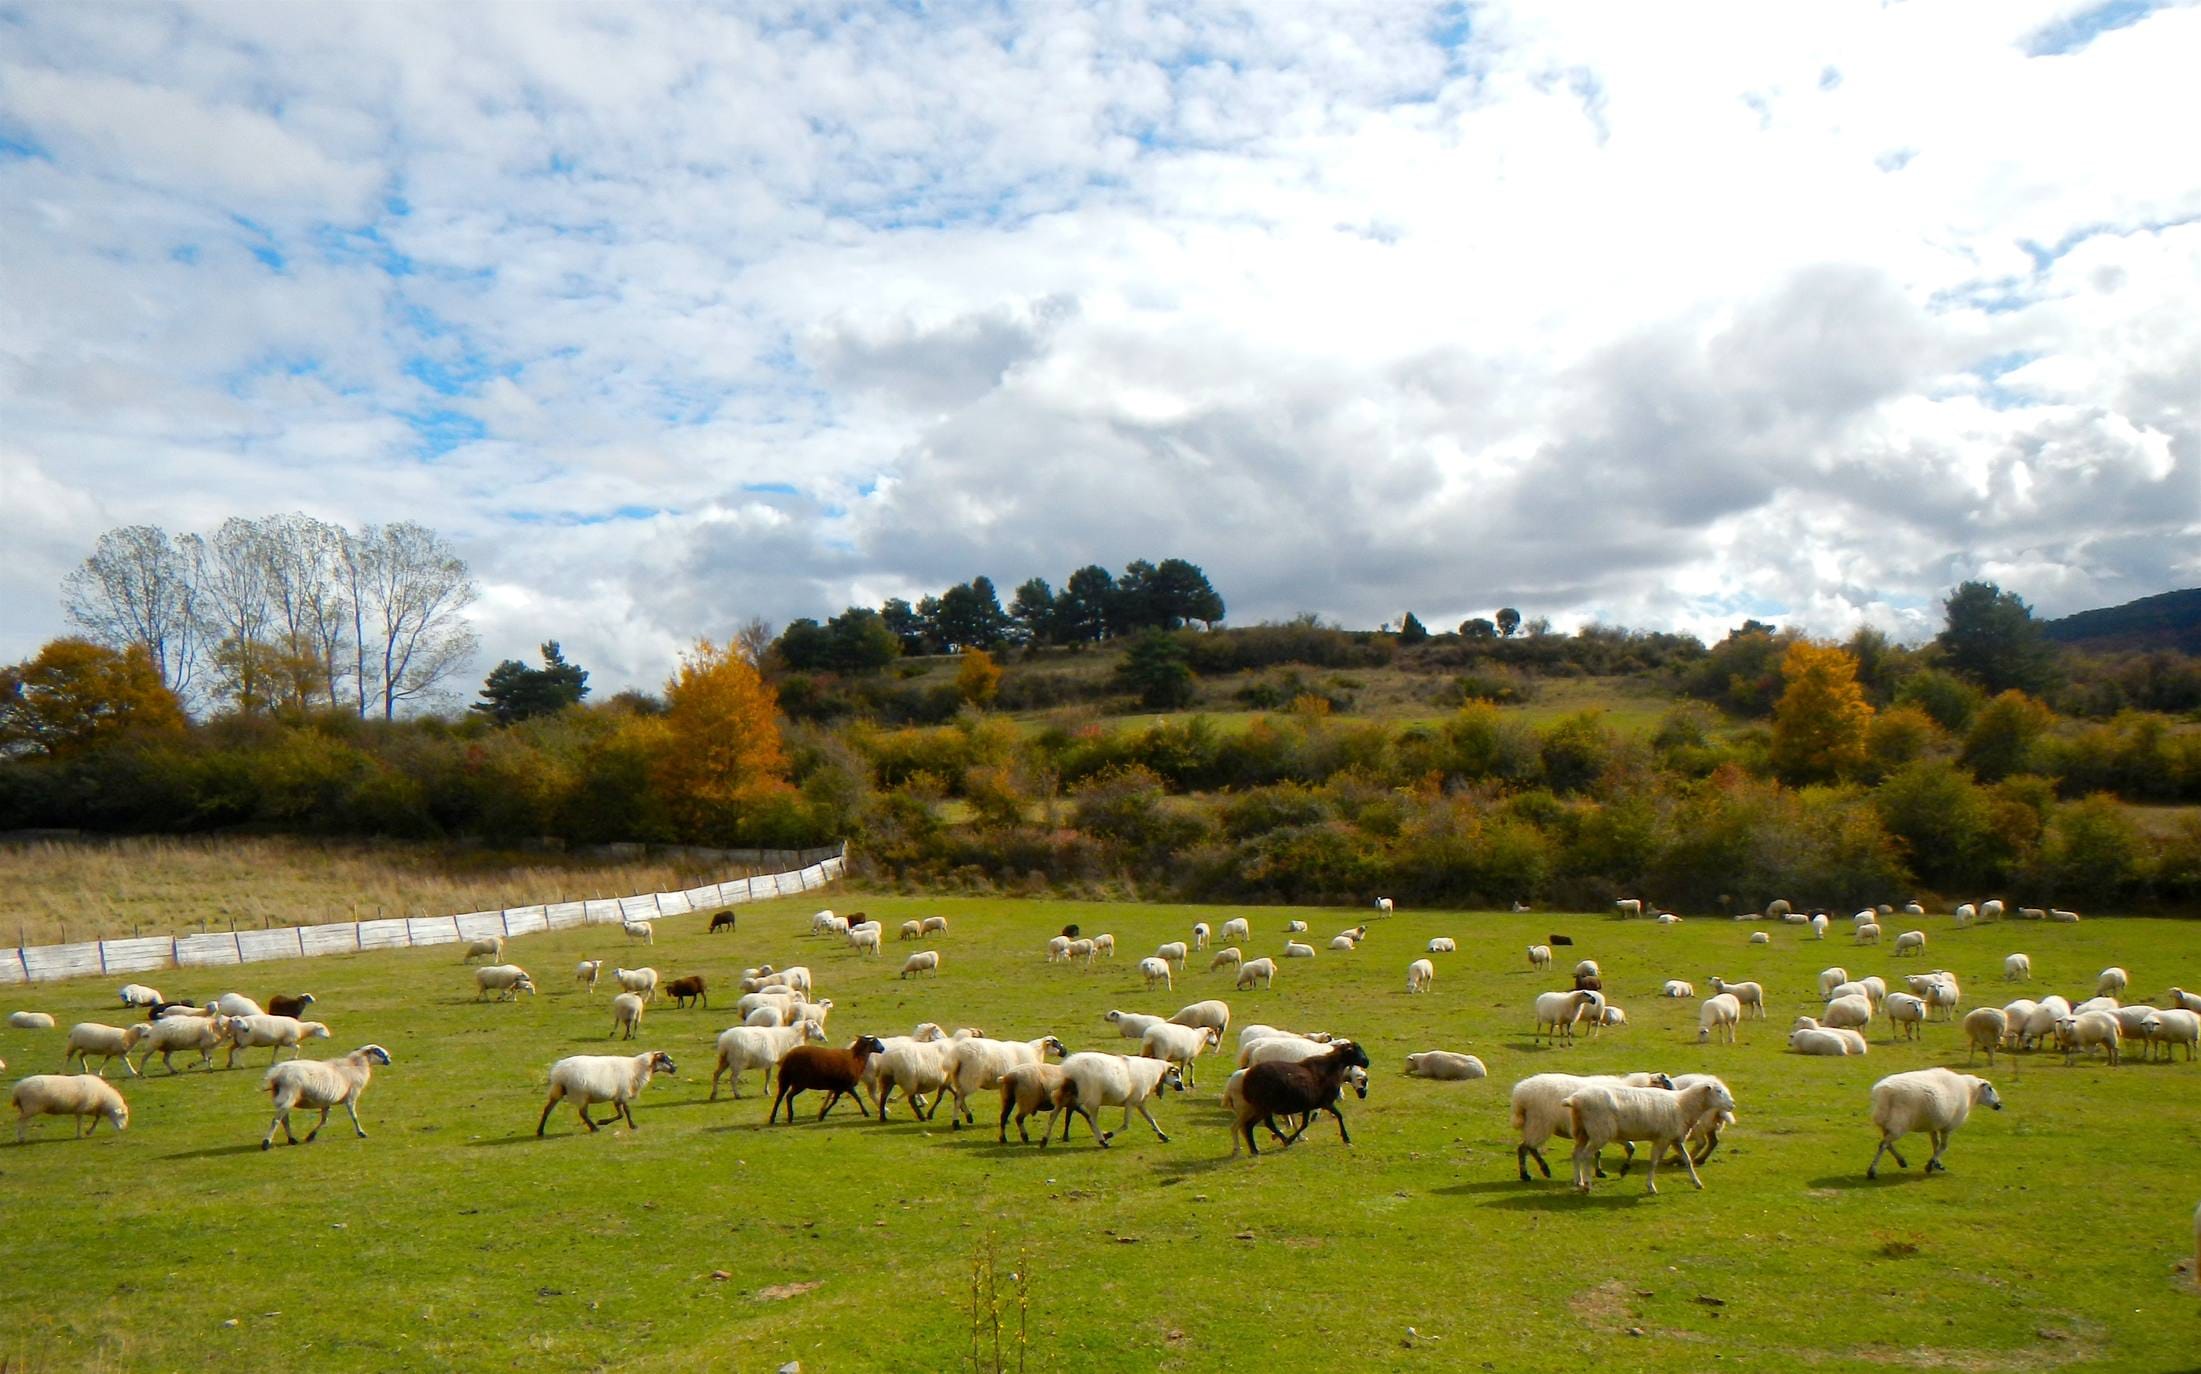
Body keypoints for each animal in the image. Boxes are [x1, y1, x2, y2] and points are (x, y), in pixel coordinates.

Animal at [261, 1039, 391, 1145]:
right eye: (378, 1052)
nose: (389, 1060)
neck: (357, 1066)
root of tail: (277, 1073)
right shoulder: (351, 1096)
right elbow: (354, 1116)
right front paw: (361, 1133)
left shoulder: (326, 1102)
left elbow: (324, 1121)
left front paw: (311, 1136)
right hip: (289, 1095)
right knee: (276, 1120)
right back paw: (266, 1142)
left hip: (282, 1096)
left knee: (285, 1120)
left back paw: (292, 1140)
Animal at [532, 1052, 669, 1136]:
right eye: (664, 1059)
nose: (673, 1069)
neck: (637, 1068)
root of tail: (558, 1072)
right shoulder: (623, 1092)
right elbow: (626, 1111)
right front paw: (632, 1126)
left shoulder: (617, 1095)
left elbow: (621, 1113)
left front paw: (604, 1121)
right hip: (580, 1094)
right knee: (582, 1113)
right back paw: (594, 1128)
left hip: (558, 1091)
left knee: (547, 1109)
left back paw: (540, 1131)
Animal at [1034, 1052, 1179, 1145]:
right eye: (1176, 1073)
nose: (1181, 1087)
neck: (1154, 1072)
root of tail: (1070, 1069)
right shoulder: (1131, 1102)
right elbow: (1126, 1125)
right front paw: (1108, 1135)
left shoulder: (1139, 1102)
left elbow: (1151, 1119)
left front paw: (1163, 1136)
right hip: (1091, 1098)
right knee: (1092, 1120)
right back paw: (1102, 1141)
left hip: (1066, 1094)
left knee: (1053, 1115)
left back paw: (1044, 1141)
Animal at [1567, 1083, 1734, 1189]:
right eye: (1719, 1091)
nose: (1733, 1104)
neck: (1683, 1104)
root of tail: (1575, 1099)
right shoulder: (1663, 1138)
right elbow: (1654, 1162)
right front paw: (1650, 1186)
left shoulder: (1675, 1139)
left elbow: (1687, 1160)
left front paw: (1697, 1183)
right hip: (1599, 1132)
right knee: (1586, 1156)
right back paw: (1587, 1184)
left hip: (1583, 1131)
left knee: (1576, 1154)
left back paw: (1578, 1181)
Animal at [1866, 1061, 2007, 1180]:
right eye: (1989, 1088)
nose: (1999, 1105)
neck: (1970, 1091)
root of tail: (1883, 1093)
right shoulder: (1948, 1126)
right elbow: (1943, 1146)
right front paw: (1931, 1164)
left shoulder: (1933, 1124)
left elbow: (1935, 1144)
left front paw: (1937, 1164)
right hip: (1899, 1124)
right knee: (1883, 1144)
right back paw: (1872, 1171)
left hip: (1886, 1122)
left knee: (1887, 1143)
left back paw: (1902, 1161)